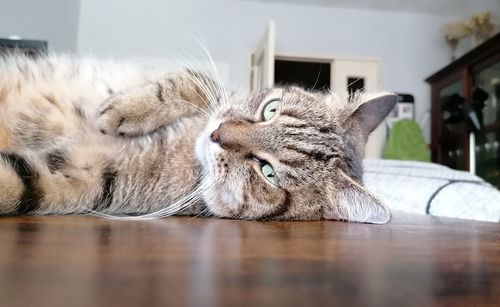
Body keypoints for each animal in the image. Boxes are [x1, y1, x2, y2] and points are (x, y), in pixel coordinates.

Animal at [0, 53, 396, 224]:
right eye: (270, 109)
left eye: (268, 173)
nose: (218, 134)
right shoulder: (215, 93)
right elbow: (189, 78)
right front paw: (126, 107)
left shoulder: (82, 179)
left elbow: (14, 187)